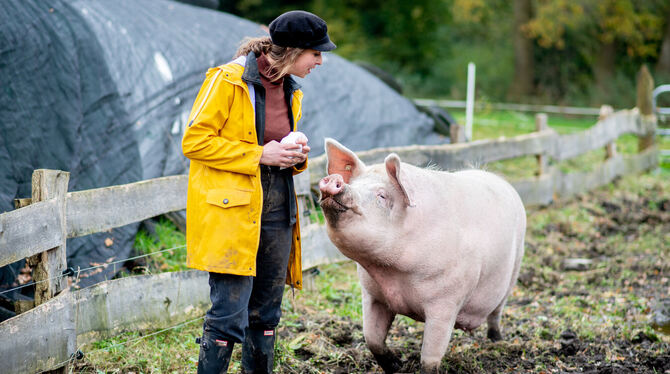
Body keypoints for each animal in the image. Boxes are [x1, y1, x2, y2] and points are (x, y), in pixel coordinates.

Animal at [318, 139, 528, 372]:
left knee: (496, 313)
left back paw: (496, 340)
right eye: (354, 183)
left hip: (514, 269)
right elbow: (372, 338)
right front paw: (396, 366)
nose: (335, 180)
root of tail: (503, 182)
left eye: (382, 195)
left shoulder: (446, 302)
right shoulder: (372, 294)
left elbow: (429, 358)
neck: (390, 273)